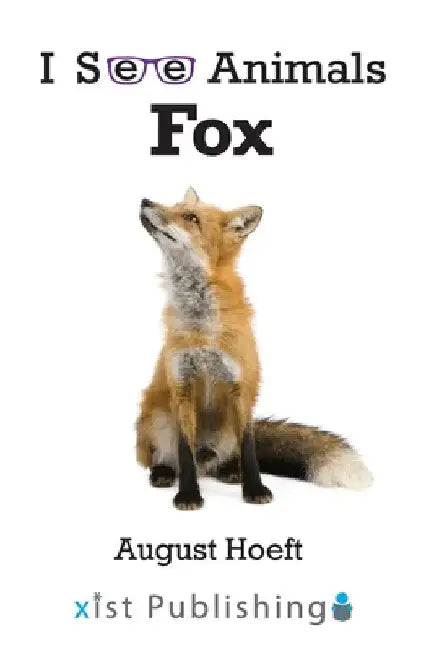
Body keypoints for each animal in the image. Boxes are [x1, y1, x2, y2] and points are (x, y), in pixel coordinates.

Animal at [136, 187, 373, 510]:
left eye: (190, 217)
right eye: (175, 205)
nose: (145, 200)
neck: (203, 329)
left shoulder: (241, 386)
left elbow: (250, 450)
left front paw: (255, 489)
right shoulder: (182, 385)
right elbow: (185, 452)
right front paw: (188, 495)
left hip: (225, 430)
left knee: (222, 459)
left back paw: (229, 471)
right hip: (156, 419)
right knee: (167, 458)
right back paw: (163, 473)